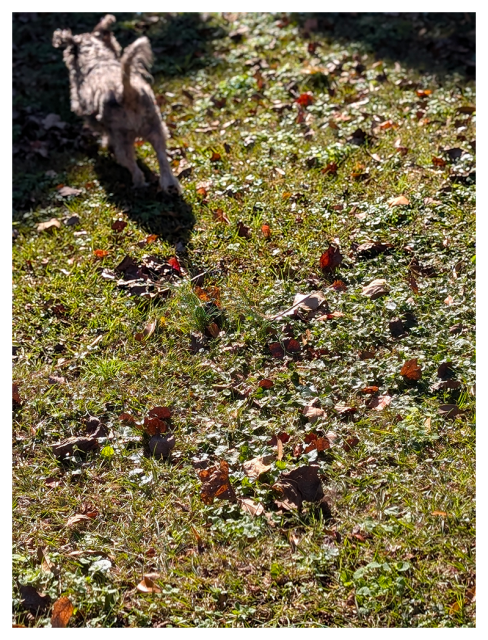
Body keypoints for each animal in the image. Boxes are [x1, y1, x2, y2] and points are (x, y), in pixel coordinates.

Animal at [52, 15, 181, 192]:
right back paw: (170, 185)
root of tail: (126, 92)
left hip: (123, 139)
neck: (97, 58)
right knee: (162, 158)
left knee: (132, 165)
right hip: (156, 128)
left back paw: (138, 184)